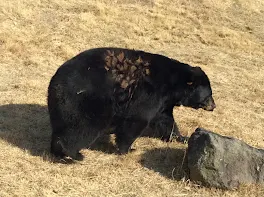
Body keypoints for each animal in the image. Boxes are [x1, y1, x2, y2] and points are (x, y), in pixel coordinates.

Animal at [48, 47, 216, 160]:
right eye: (209, 95)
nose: (213, 106)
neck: (172, 84)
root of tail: (55, 82)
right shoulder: (149, 93)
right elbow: (137, 119)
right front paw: (127, 149)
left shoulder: (164, 101)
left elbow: (165, 120)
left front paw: (182, 138)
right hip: (89, 102)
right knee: (82, 128)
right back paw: (73, 154)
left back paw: (58, 151)